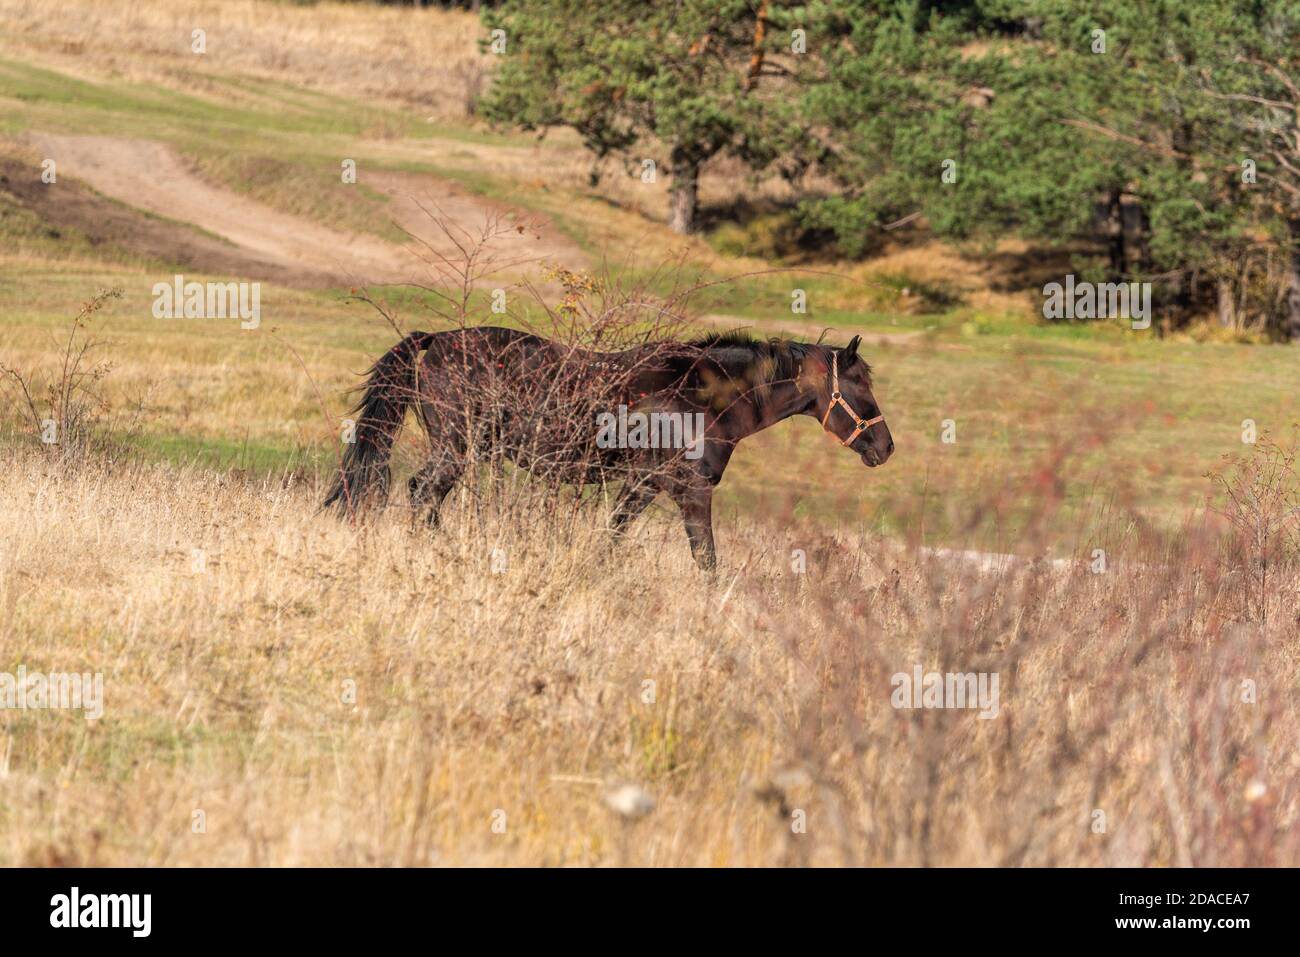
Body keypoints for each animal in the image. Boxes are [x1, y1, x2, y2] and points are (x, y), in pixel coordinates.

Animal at [325, 325, 894, 572]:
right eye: (861, 387)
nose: (885, 448)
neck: (699, 394)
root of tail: (436, 340)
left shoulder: (642, 487)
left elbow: (611, 537)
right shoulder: (691, 493)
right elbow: (707, 561)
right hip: (456, 447)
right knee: (423, 493)